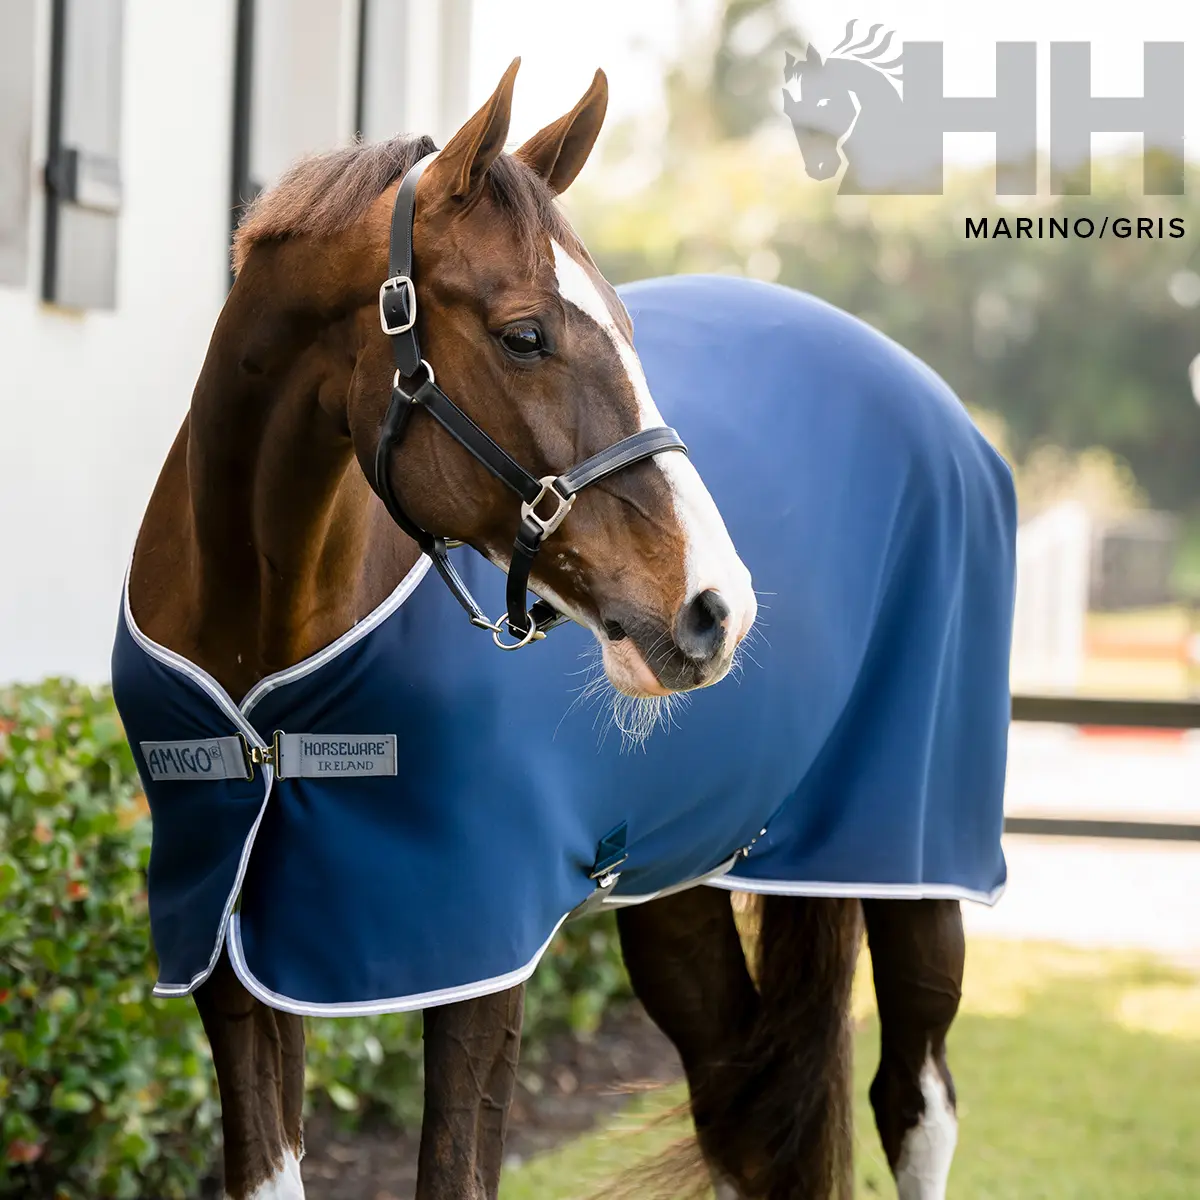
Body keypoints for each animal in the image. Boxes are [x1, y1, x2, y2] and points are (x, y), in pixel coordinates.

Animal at [113, 60, 1014, 1200]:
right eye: (524, 334)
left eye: (625, 321)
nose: (715, 607)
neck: (259, 654)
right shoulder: (234, 954)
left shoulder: (478, 946)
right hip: (682, 873)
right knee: (737, 1097)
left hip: (910, 854)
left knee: (915, 1102)